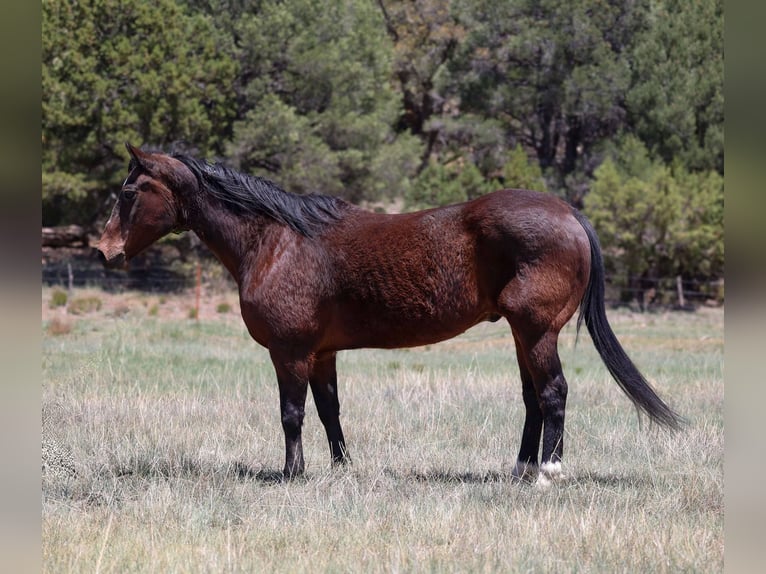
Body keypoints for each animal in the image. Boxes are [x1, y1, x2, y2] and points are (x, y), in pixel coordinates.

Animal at [98, 143, 682, 483]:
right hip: (523, 334)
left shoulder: (290, 352)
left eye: (128, 190)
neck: (277, 240)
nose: (104, 251)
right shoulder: (322, 354)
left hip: (537, 330)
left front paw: (291, 474)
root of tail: (569, 214)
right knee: (533, 397)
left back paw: (549, 472)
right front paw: (340, 468)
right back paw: (519, 469)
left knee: (554, 392)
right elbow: (329, 411)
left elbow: (291, 414)